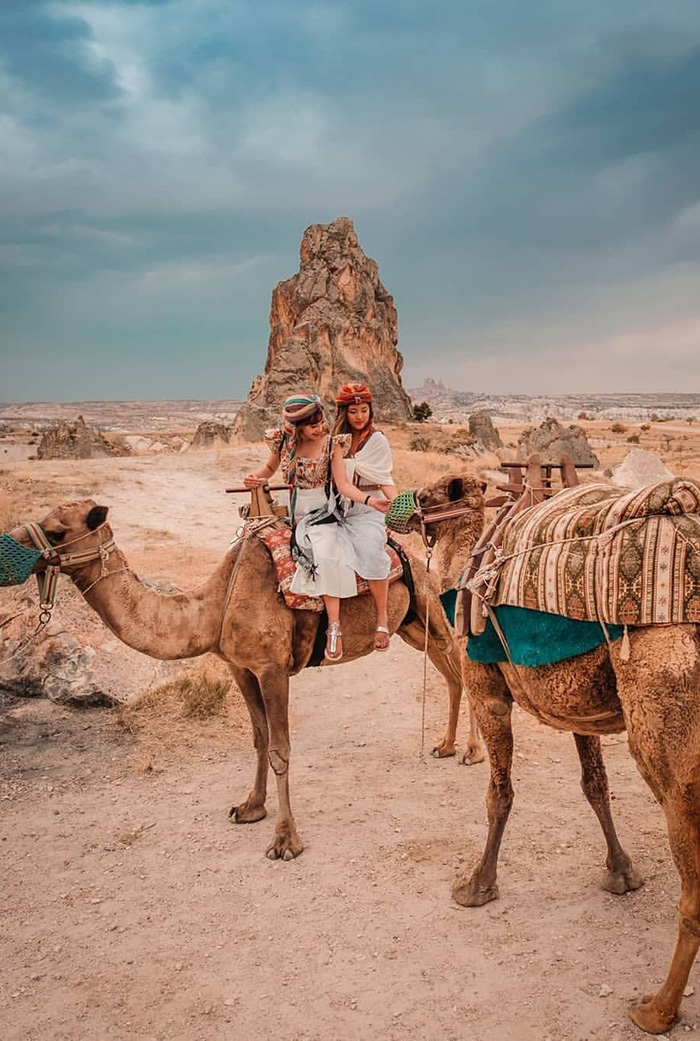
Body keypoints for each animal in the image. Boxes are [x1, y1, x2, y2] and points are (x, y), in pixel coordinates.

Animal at [404, 462, 700, 1032]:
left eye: (428, 496)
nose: (398, 509)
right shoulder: (578, 707)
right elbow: (595, 786)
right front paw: (622, 874)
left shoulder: (487, 691)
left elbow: (499, 795)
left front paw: (476, 886)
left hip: (666, 732)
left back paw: (656, 1010)